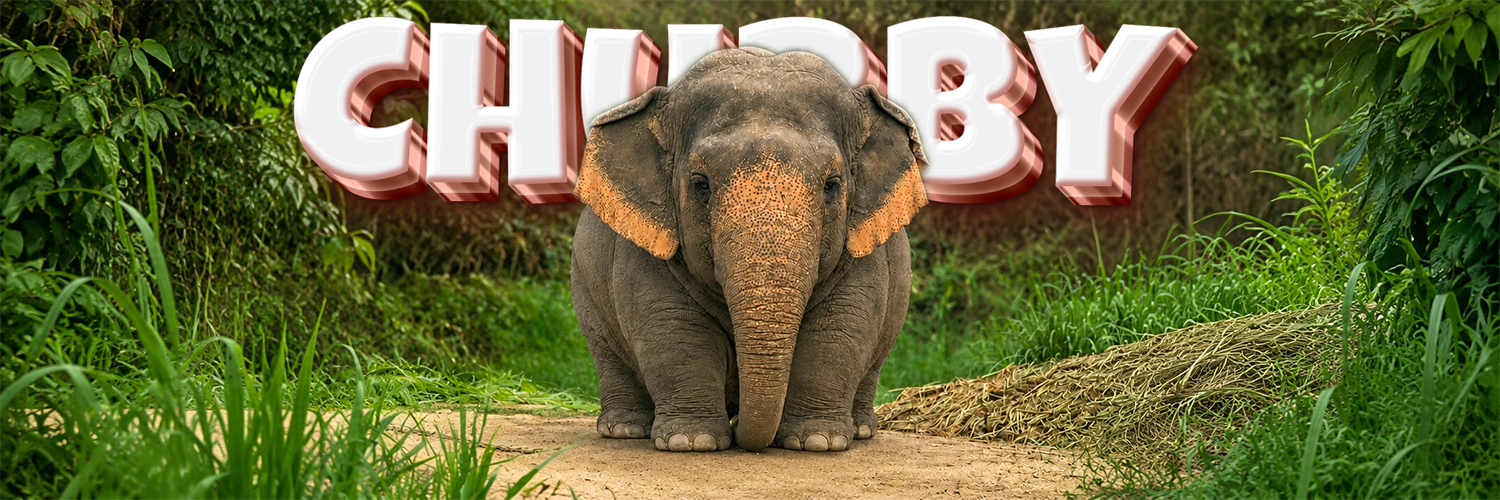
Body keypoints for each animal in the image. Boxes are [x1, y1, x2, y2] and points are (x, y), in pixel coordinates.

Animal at [570, 47, 928, 453]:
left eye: (832, 185)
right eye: (701, 185)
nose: (743, 430)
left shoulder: (862, 247)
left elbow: (841, 325)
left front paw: (817, 441)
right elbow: (672, 325)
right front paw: (691, 442)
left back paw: (862, 430)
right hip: (585, 288)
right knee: (608, 351)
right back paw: (624, 429)